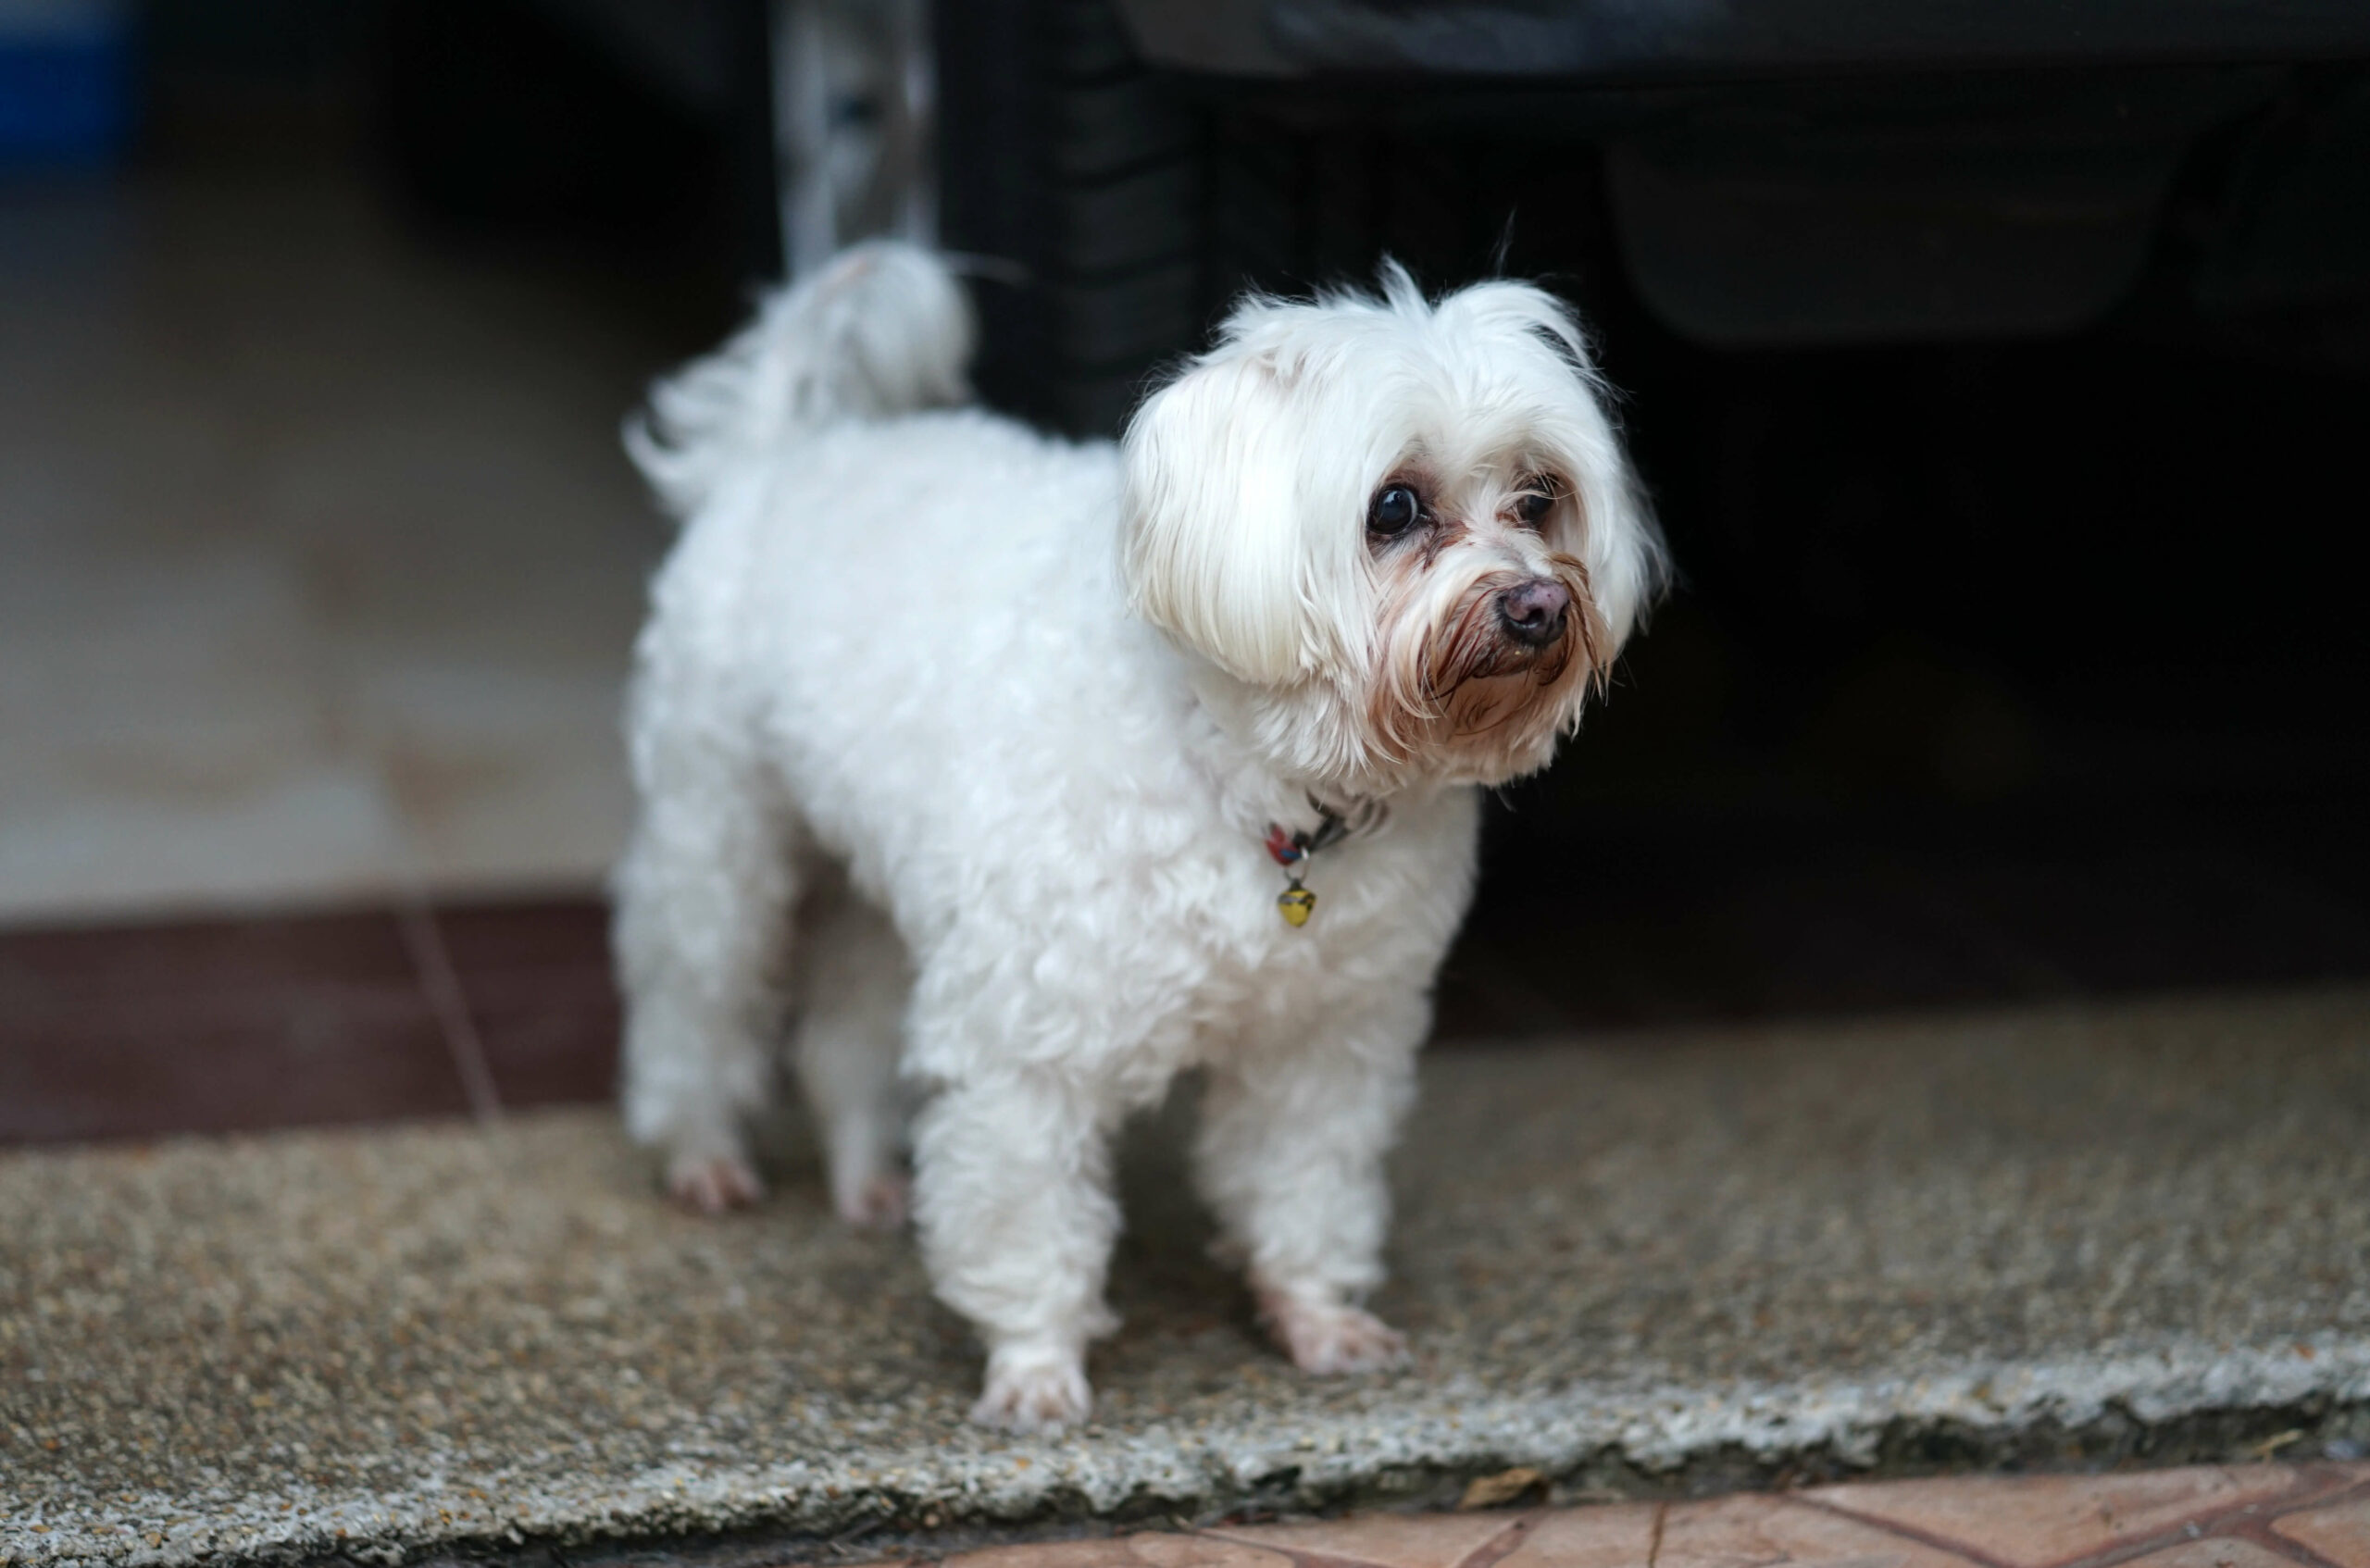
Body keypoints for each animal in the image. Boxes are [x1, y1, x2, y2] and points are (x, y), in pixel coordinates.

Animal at [620, 239, 1678, 1430]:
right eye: (1395, 506)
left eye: (1540, 497)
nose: (1541, 606)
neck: (1269, 788)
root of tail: (782, 452)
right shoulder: (1024, 1047)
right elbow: (1027, 1218)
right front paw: (1034, 1366)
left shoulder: (1324, 1042)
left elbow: (1304, 1187)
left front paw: (1313, 1316)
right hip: (718, 844)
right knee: (692, 1000)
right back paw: (701, 1155)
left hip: (889, 894)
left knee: (840, 1022)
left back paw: (864, 1174)